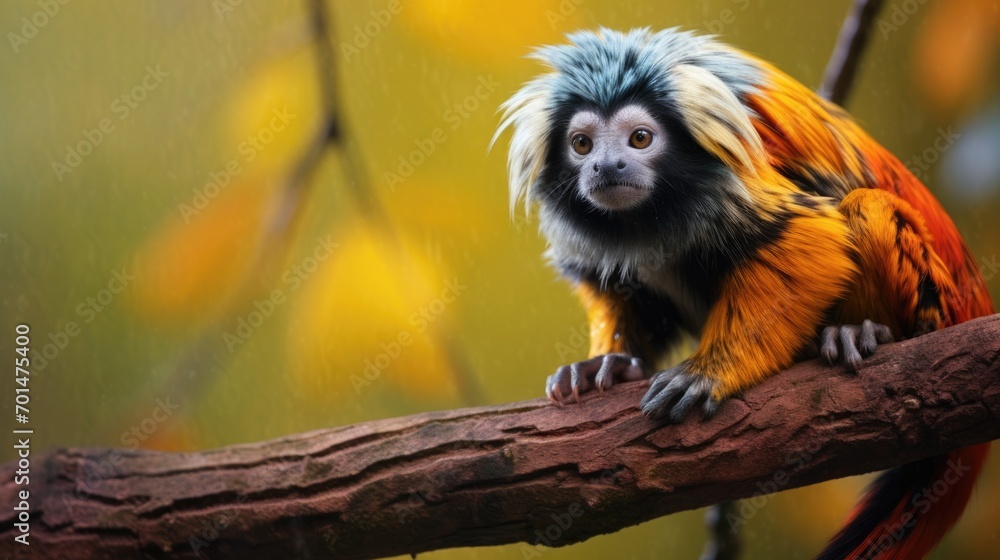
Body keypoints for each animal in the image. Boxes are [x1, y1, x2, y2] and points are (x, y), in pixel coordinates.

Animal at [493, 28, 994, 559]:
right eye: (582, 144)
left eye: (640, 138)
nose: (607, 166)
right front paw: (609, 365)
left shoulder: (732, 182)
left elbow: (807, 234)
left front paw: (709, 372)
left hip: (936, 300)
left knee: (868, 206)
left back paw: (862, 332)